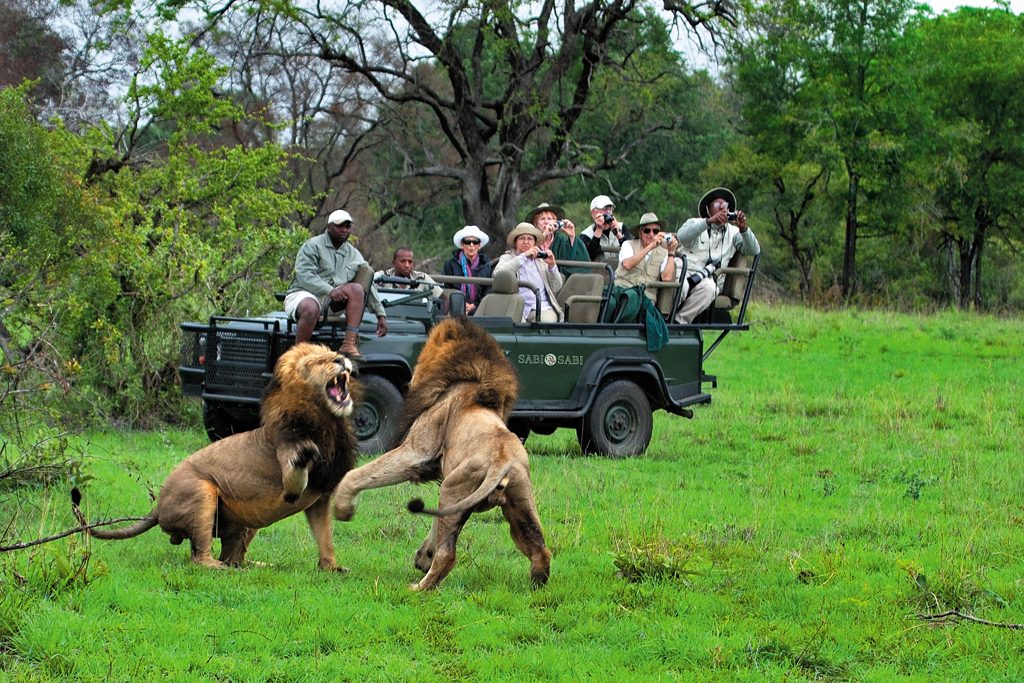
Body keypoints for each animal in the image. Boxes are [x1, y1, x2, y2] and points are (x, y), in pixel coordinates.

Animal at [71, 343, 360, 571]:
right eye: (315, 362)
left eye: (333, 352)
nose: (341, 358)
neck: (329, 422)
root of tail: (158, 506)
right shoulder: (288, 464)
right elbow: (294, 478)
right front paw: (306, 454)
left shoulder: (320, 497)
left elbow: (325, 536)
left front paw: (331, 567)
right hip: (202, 492)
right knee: (200, 557)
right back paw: (221, 568)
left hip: (245, 521)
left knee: (234, 555)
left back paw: (256, 565)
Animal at [331, 317, 551, 591]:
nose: (411, 378)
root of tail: (503, 462)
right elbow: (435, 524)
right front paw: (424, 556)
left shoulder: (415, 452)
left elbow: (356, 474)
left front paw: (343, 508)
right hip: (516, 501)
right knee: (540, 550)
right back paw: (535, 587)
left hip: (453, 488)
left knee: (448, 556)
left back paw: (418, 588)